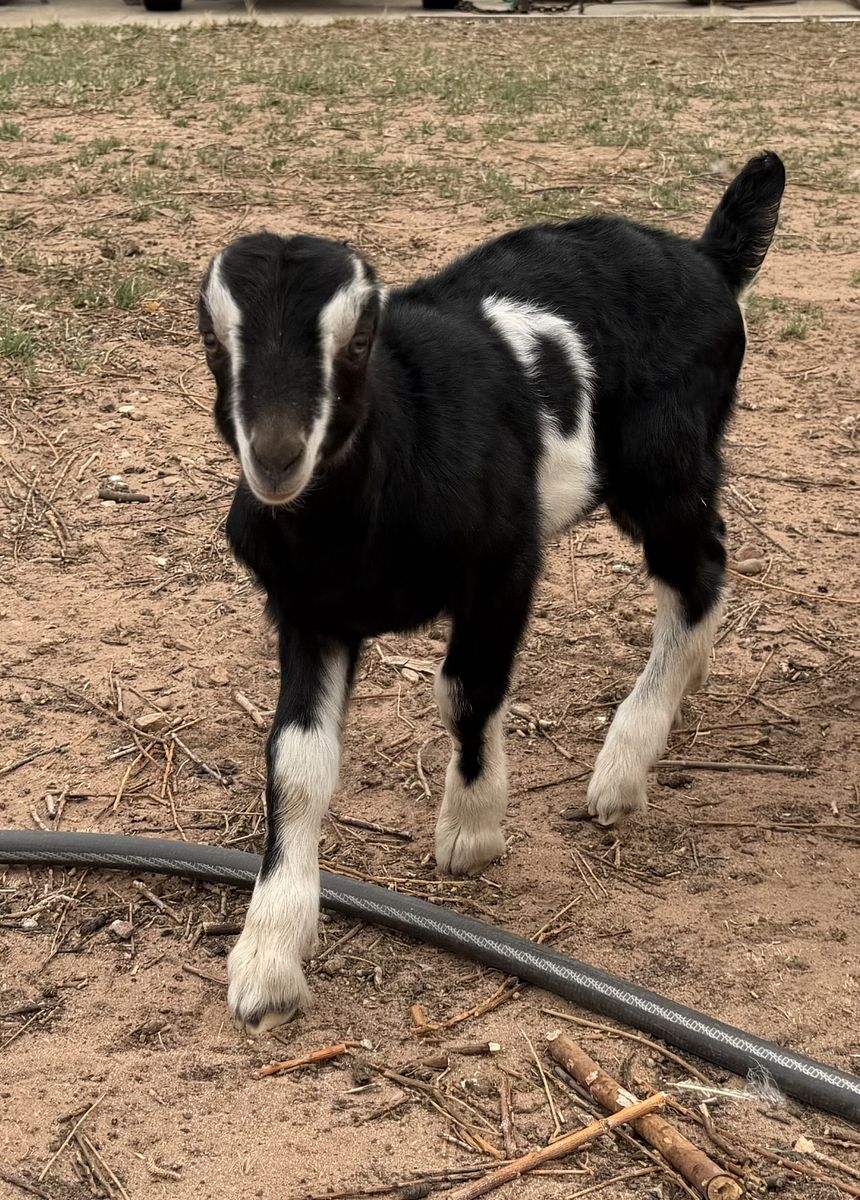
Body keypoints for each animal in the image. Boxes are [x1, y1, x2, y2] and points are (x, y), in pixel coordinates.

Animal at [198, 151, 786, 1032]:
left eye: (360, 338)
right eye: (210, 335)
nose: (275, 454)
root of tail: (705, 255)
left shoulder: (506, 565)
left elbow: (466, 691)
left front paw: (471, 830)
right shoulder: (308, 608)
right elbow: (296, 761)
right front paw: (268, 957)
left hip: (664, 465)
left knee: (699, 569)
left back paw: (623, 765)